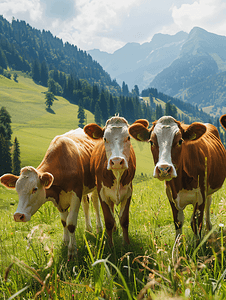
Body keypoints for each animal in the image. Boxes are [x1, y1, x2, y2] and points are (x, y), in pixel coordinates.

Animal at [0, 128, 102, 258]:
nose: (18, 216)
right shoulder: (59, 199)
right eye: (17, 189)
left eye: (35, 189)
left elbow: (71, 223)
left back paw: (99, 229)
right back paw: (88, 229)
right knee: (86, 204)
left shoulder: (76, 193)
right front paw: (65, 242)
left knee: (95, 203)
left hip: (95, 185)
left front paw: (72, 251)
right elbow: (64, 222)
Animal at [83, 116, 135, 245]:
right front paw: (111, 245)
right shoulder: (102, 193)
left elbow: (124, 220)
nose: (116, 161)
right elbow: (109, 220)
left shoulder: (128, 192)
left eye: (128, 137)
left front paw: (126, 244)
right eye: (105, 138)